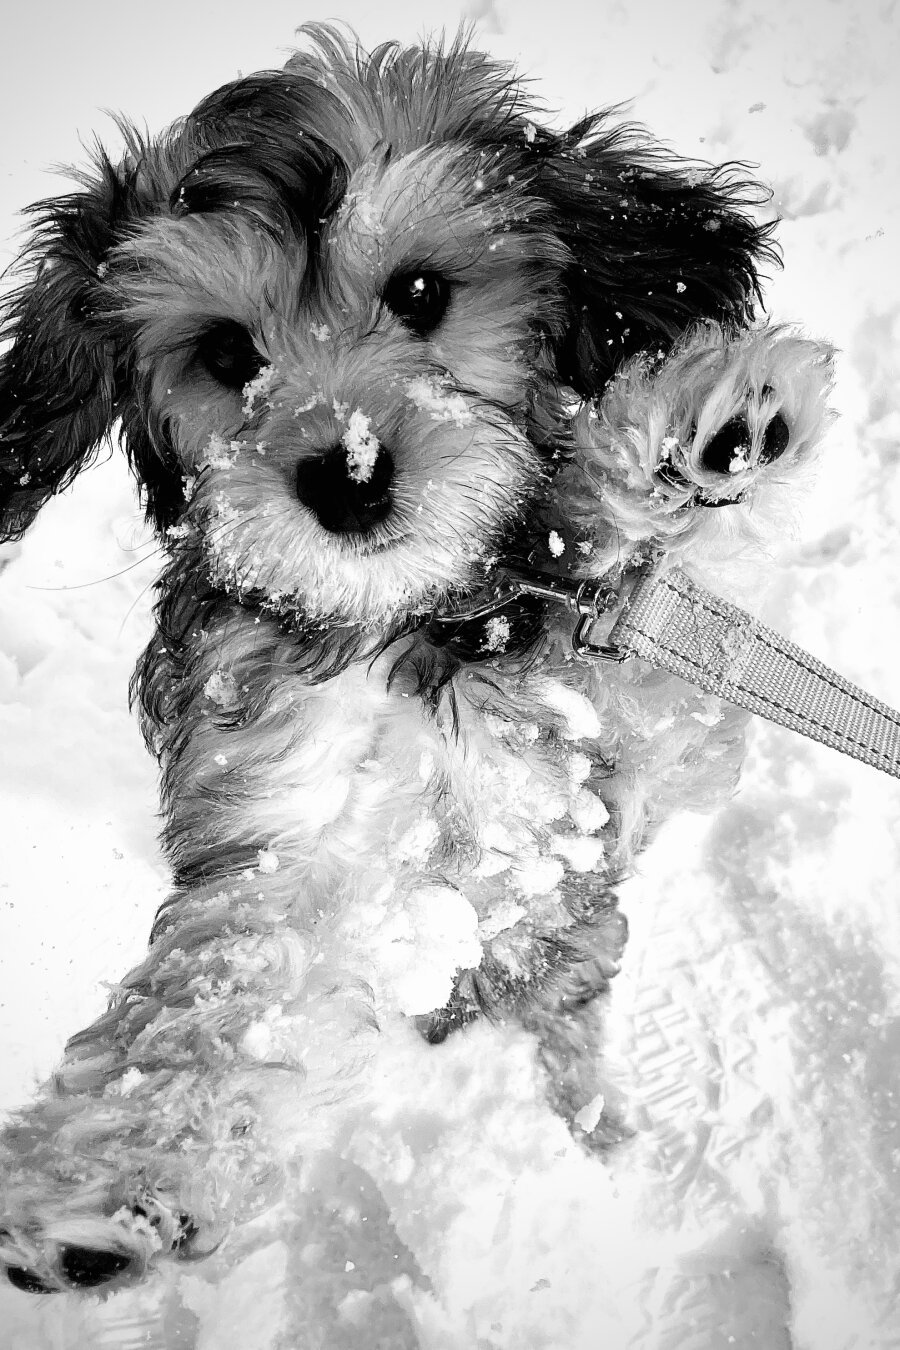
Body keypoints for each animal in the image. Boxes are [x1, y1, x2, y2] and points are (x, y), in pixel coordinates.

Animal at [0, 29, 836, 1296]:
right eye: (226, 351)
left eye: (423, 293)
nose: (346, 476)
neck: (426, 618)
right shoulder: (285, 820)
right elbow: (227, 971)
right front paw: (117, 1171)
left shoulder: (637, 738)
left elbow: (639, 630)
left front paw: (698, 426)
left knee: (569, 1027)